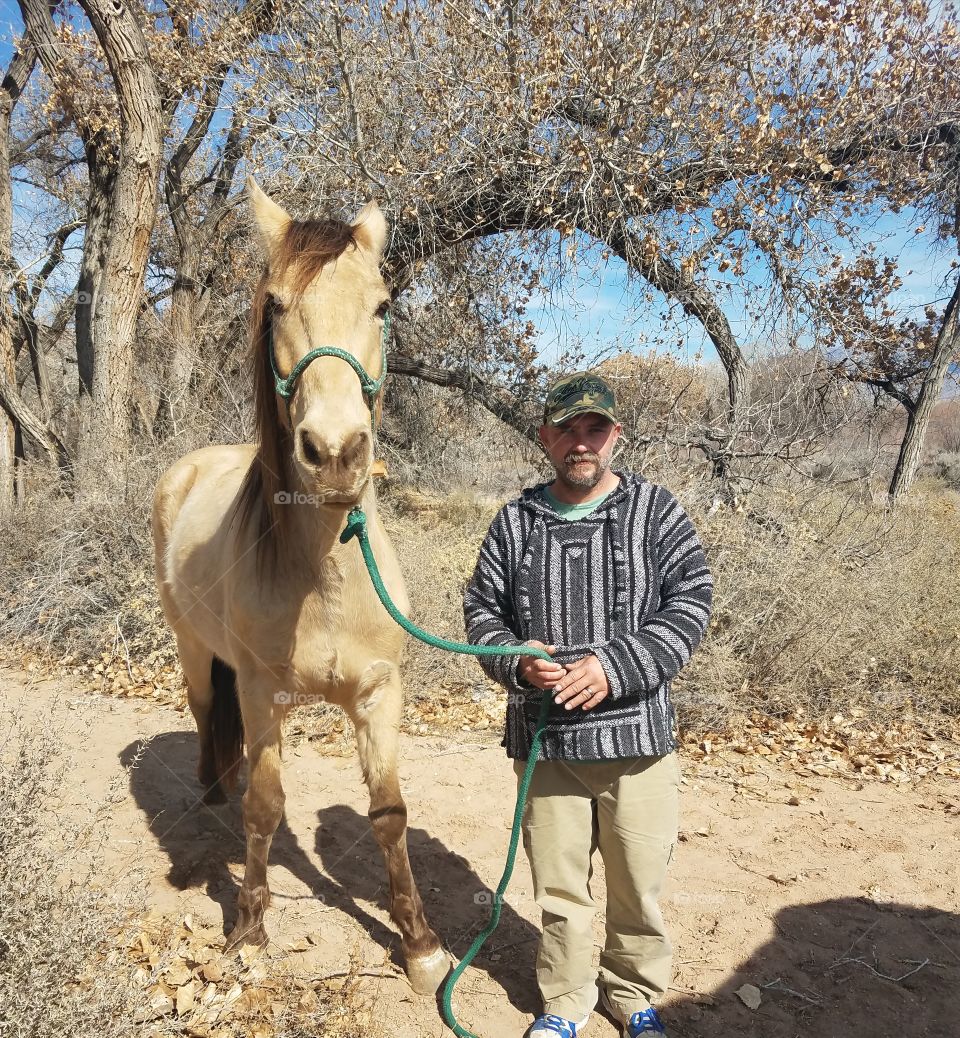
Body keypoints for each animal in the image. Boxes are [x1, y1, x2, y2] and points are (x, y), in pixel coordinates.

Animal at [151, 178, 448, 996]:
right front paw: (249, 929)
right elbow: (264, 807)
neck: (325, 579)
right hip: (193, 650)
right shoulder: (261, 693)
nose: (337, 453)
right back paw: (210, 788)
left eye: (382, 304)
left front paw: (419, 944)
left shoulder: (380, 696)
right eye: (277, 304)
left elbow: (389, 813)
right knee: (205, 715)